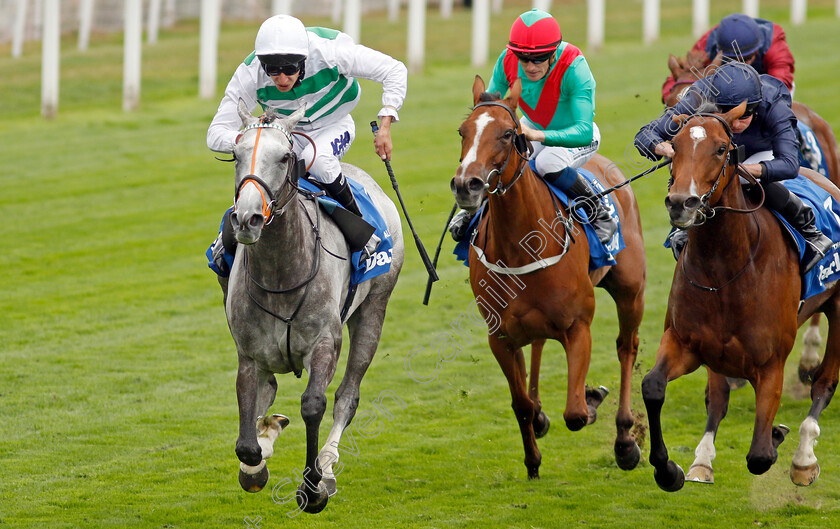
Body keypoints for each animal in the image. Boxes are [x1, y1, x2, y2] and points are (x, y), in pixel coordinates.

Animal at [221, 101, 406, 512]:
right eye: (235, 154)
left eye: (284, 156)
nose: (247, 219)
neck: (280, 274)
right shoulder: (249, 353)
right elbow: (248, 429)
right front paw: (258, 458)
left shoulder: (324, 342)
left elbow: (314, 405)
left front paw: (313, 485)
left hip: (374, 309)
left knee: (347, 397)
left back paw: (328, 466)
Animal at [450, 75, 648, 478]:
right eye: (463, 131)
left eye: (507, 133)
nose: (467, 184)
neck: (520, 245)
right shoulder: (500, 336)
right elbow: (521, 405)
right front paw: (533, 458)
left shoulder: (579, 327)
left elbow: (575, 413)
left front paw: (590, 400)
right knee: (540, 344)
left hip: (630, 290)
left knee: (626, 347)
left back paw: (624, 441)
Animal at [644, 103, 840, 490]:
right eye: (674, 145)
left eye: (721, 149)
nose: (681, 203)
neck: (723, 271)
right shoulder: (687, 342)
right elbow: (654, 386)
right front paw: (670, 468)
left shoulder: (771, 363)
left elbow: (760, 456)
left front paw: (777, 437)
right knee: (717, 395)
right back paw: (703, 459)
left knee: (824, 383)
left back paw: (804, 458)